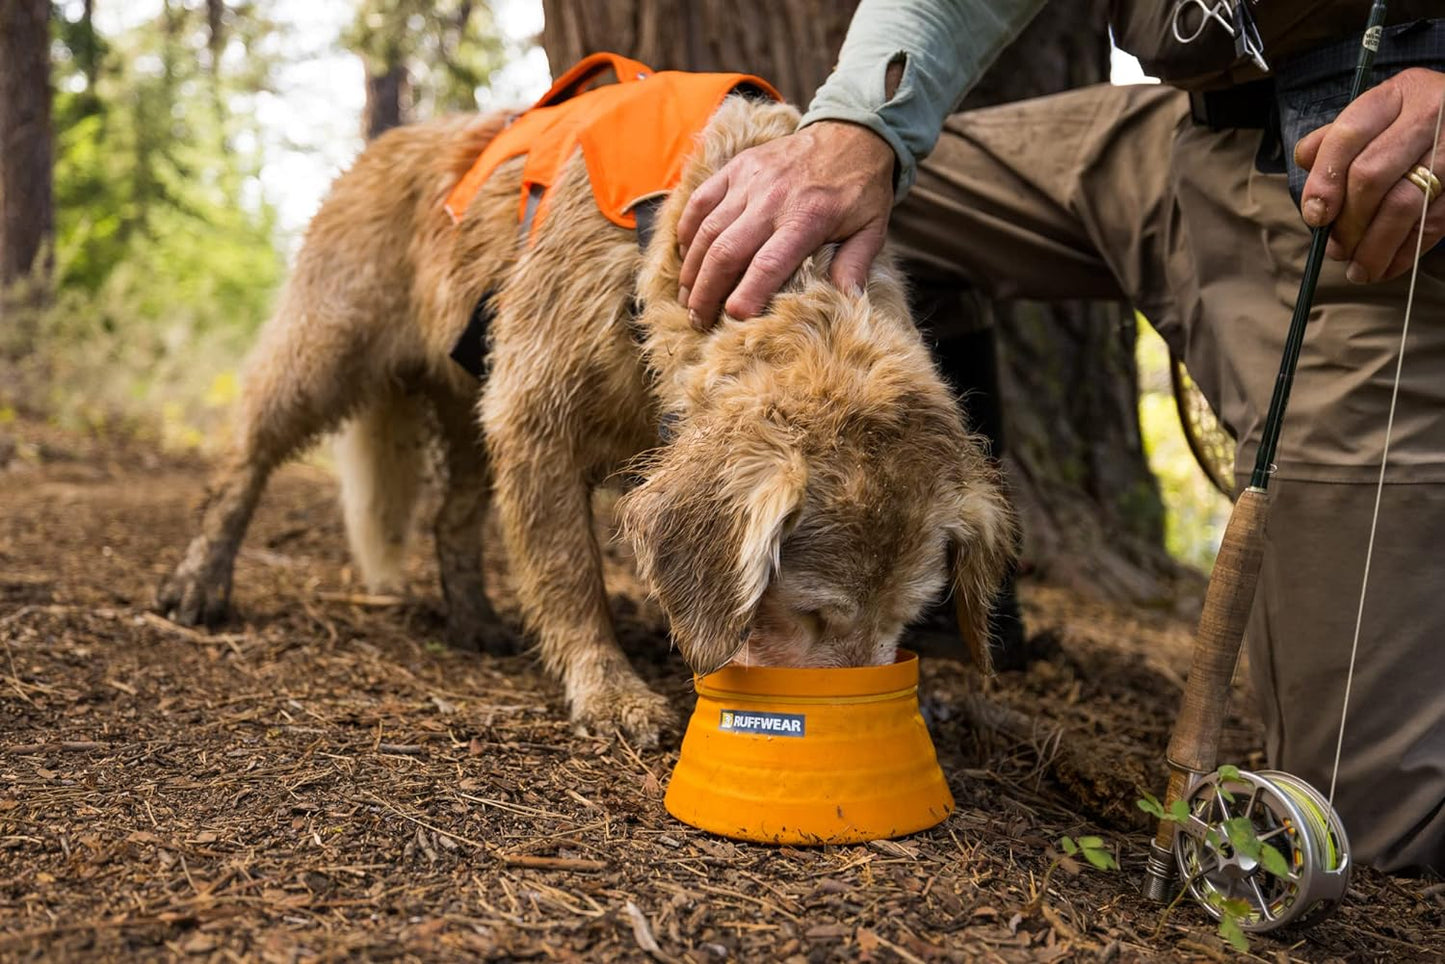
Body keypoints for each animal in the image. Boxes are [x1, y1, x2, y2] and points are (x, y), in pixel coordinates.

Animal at [158, 83, 1017, 745]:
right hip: (326, 353)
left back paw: (473, 619)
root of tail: (385, 140)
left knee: (451, 521)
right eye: (811, 614)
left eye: (905, 621)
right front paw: (609, 690)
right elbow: (571, 575)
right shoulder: (535, 420)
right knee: (243, 460)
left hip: (473, 409)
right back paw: (198, 580)